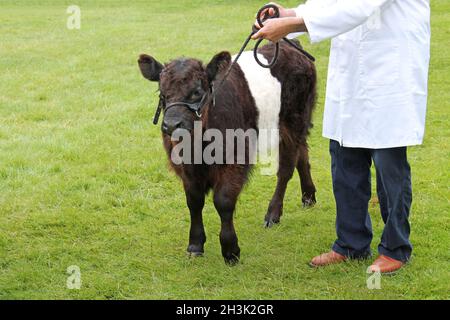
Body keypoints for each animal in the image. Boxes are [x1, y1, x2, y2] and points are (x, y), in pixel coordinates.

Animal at [137, 41, 316, 264]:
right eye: (162, 93)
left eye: (197, 91)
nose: (171, 125)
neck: (199, 145)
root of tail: (290, 45)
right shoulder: (186, 167)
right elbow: (194, 201)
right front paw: (195, 244)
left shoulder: (235, 158)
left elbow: (223, 201)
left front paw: (231, 250)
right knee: (303, 154)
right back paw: (308, 196)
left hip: (292, 121)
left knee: (286, 169)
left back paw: (273, 214)